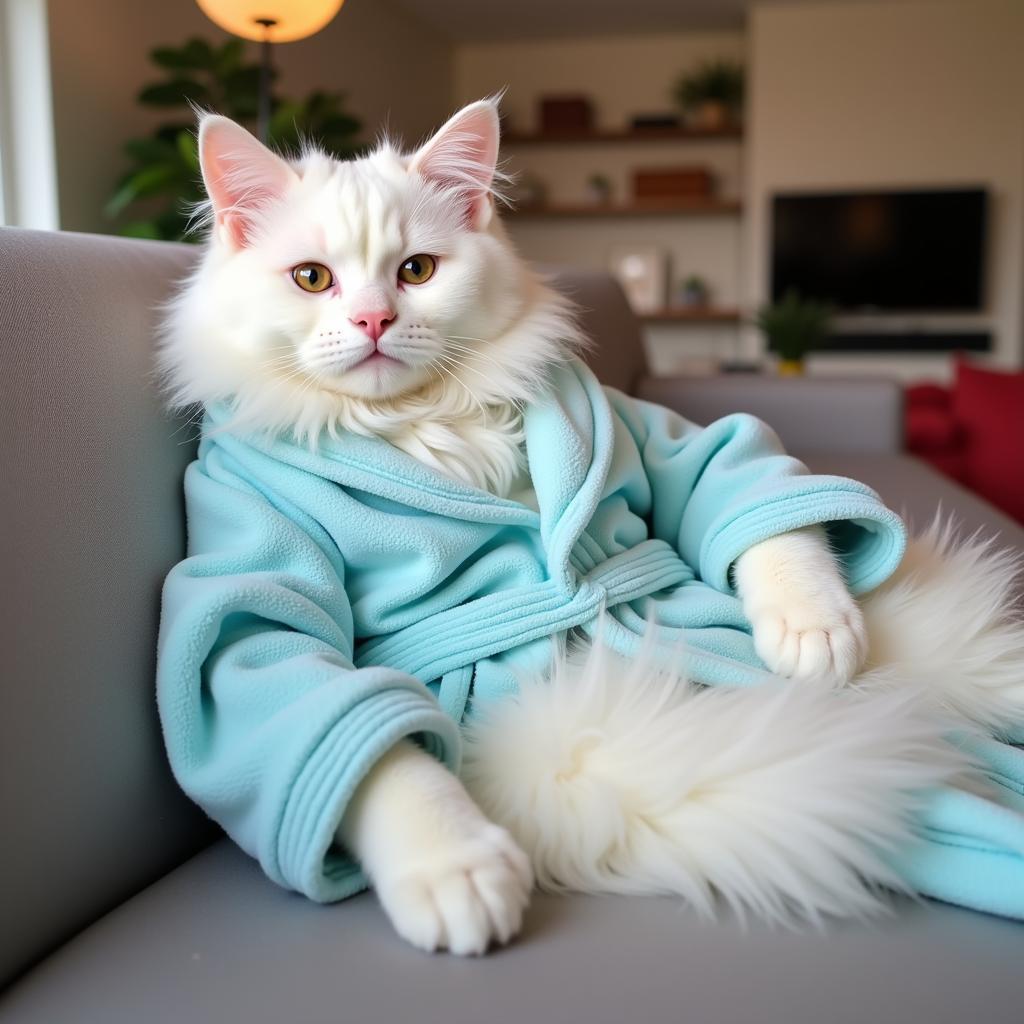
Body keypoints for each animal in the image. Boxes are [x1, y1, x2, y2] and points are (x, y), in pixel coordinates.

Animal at [159, 99, 958, 954]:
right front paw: (455, 866)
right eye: (312, 278)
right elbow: (367, 740)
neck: (424, 421)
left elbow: (754, 509)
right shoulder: (250, 585)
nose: (374, 319)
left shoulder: (659, 437)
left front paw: (814, 629)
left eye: (417, 272)